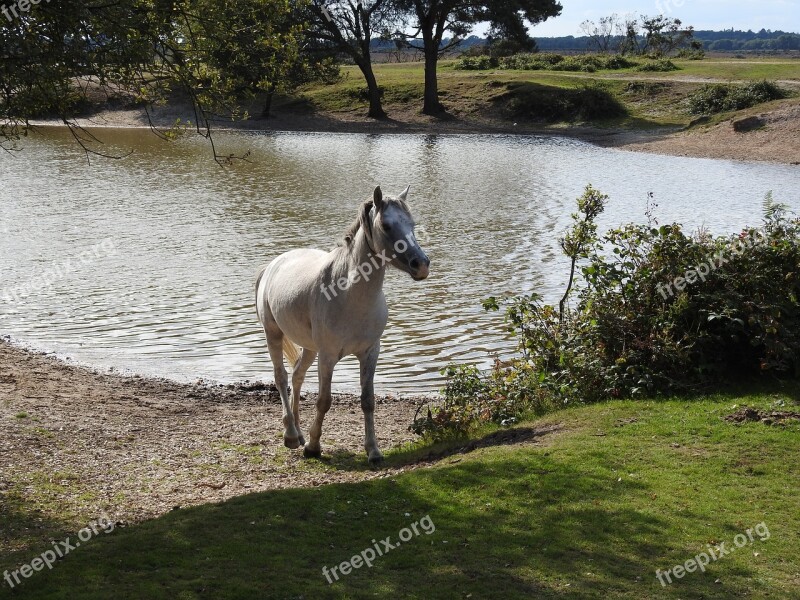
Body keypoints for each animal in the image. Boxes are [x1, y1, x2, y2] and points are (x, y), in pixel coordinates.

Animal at [256, 186, 432, 464]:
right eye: (386, 225)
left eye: (412, 224)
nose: (422, 264)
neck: (349, 294)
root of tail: (273, 265)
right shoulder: (328, 357)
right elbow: (324, 401)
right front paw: (313, 447)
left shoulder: (370, 353)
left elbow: (368, 400)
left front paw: (373, 451)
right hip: (273, 334)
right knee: (281, 377)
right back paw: (292, 436)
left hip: (310, 349)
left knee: (296, 376)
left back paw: (298, 431)